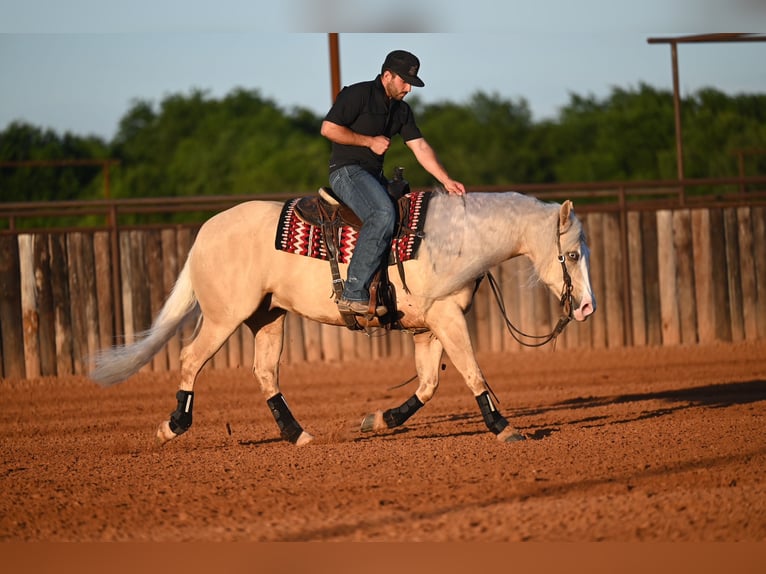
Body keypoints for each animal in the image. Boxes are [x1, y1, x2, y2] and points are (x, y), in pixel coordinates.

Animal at [90, 190, 596, 445]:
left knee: (264, 372)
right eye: (571, 254)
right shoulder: (446, 318)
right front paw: (505, 428)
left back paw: (297, 435)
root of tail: (204, 232)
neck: (454, 236)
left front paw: (379, 420)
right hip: (222, 317)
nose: (587, 307)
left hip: (268, 317)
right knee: (191, 359)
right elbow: (473, 372)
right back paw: (172, 426)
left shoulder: (428, 326)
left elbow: (429, 384)